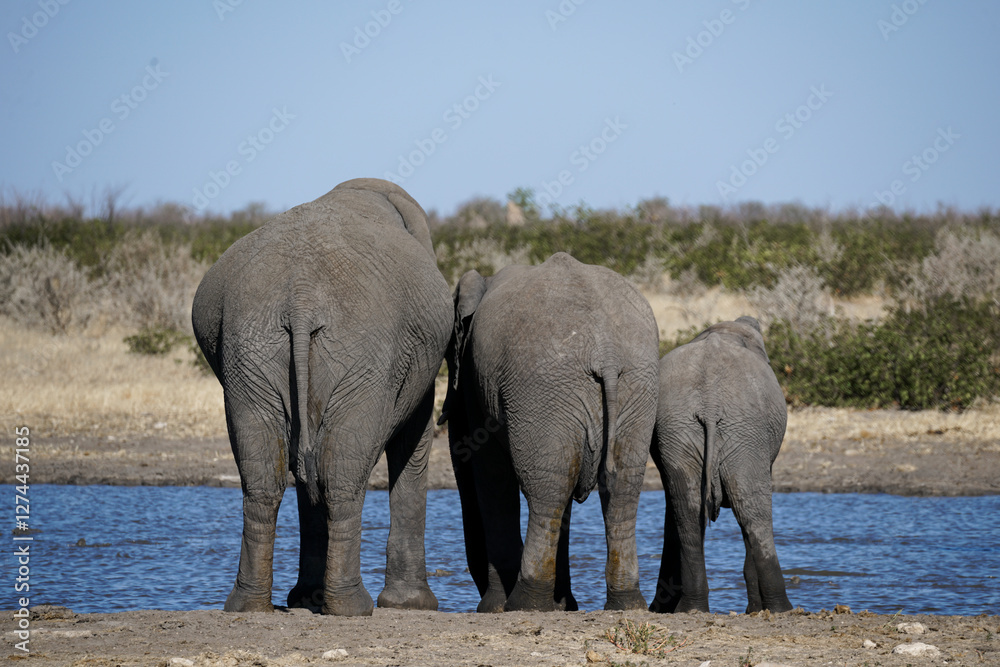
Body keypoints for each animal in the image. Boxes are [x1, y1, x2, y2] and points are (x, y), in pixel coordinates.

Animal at [191, 178, 451, 616]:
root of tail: (300, 299)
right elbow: (412, 443)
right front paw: (414, 606)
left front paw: (306, 599)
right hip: (358, 351)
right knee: (340, 472)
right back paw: (352, 607)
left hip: (251, 348)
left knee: (265, 473)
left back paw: (249, 605)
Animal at [439, 252, 660, 612]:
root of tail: (606, 352)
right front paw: (563, 605)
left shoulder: (476, 381)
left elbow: (492, 476)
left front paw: (493, 607)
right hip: (635, 387)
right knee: (620, 490)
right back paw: (626, 604)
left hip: (542, 390)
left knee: (547, 492)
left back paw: (524, 603)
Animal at [649, 316, 792, 614]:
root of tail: (710, 402)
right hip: (747, 430)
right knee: (753, 511)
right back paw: (781, 608)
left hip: (679, 430)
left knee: (688, 511)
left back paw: (692, 608)